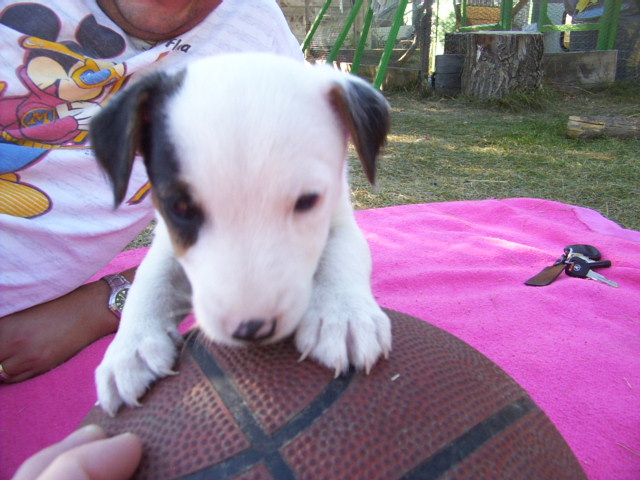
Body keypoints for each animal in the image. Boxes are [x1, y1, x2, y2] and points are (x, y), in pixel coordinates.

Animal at [92, 53, 392, 415]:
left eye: (308, 201)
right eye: (181, 208)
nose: (251, 329)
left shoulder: (340, 218)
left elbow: (341, 254)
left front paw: (343, 315)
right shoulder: (167, 239)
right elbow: (151, 279)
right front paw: (130, 348)